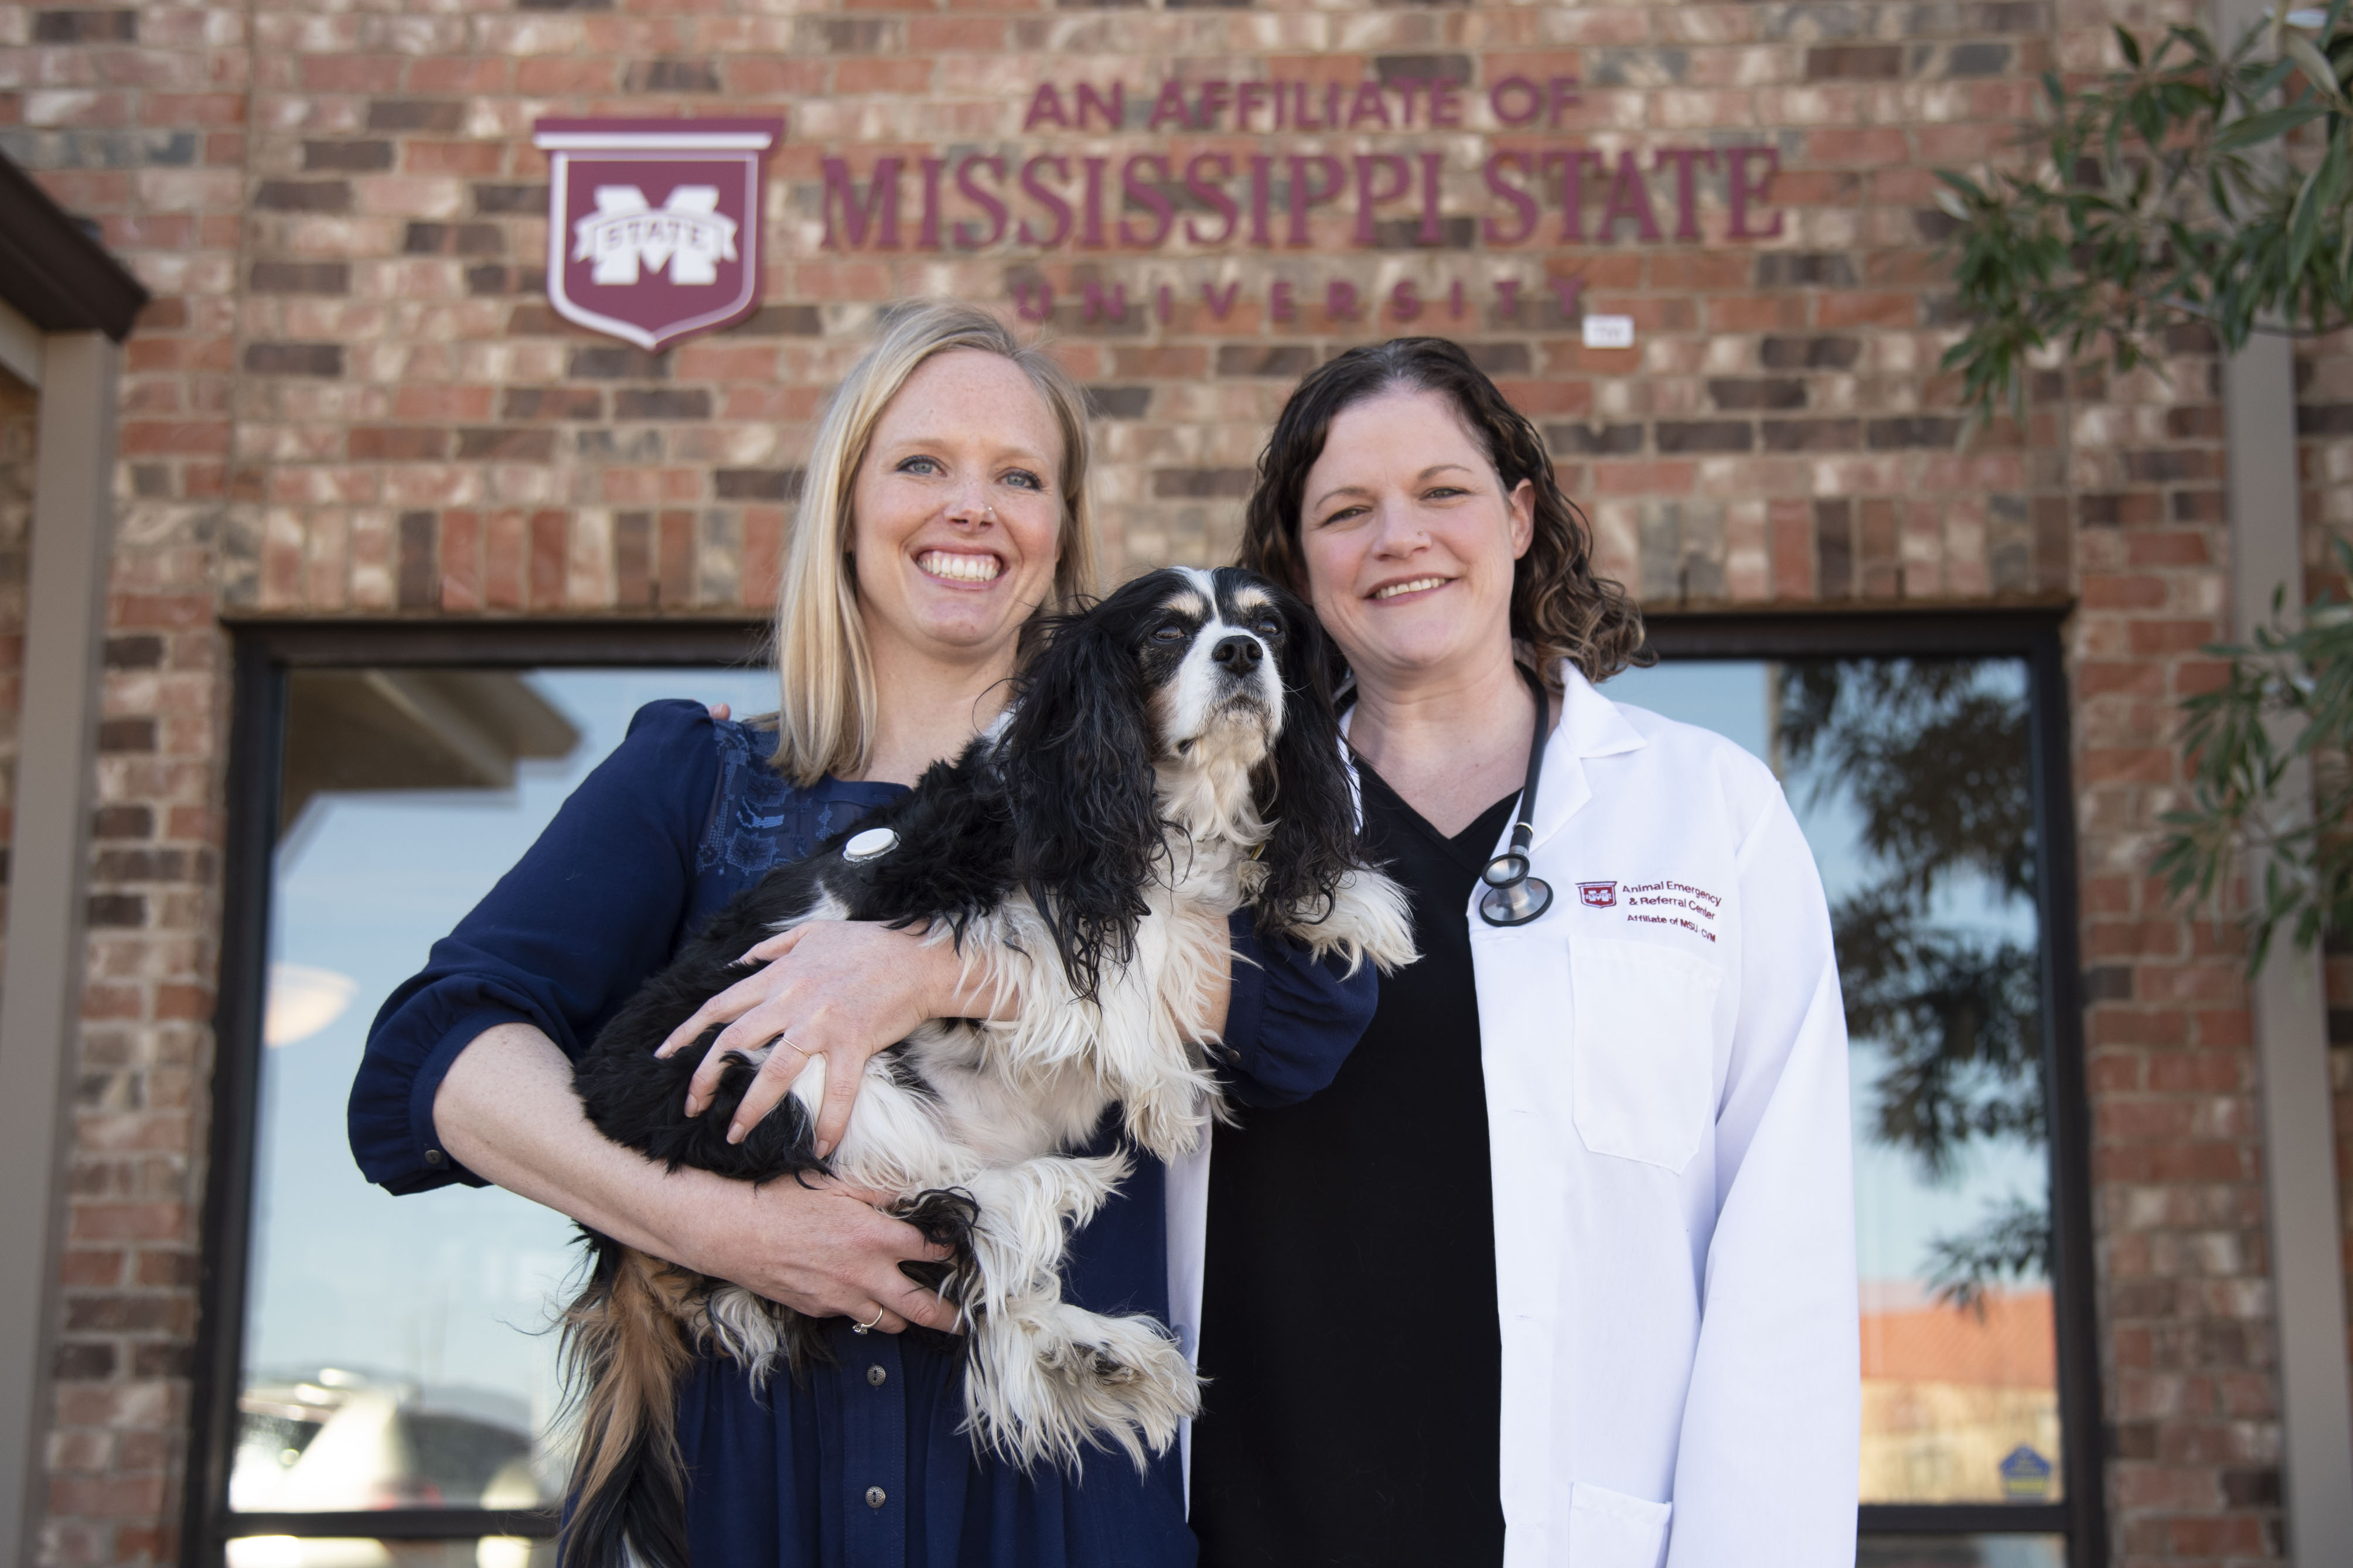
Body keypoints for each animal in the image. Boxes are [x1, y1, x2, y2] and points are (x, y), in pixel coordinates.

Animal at [564, 564, 1411, 1568]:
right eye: (1167, 637)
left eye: (1271, 629)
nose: (1241, 655)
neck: (1161, 794)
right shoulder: (982, 897)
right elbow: (1138, 934)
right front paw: (1165, 1078)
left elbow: (1223, 889)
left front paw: (1340, 898)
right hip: (796, 1073)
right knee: (939, 1216)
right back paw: (1050, 1197)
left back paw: (1094, 1350)